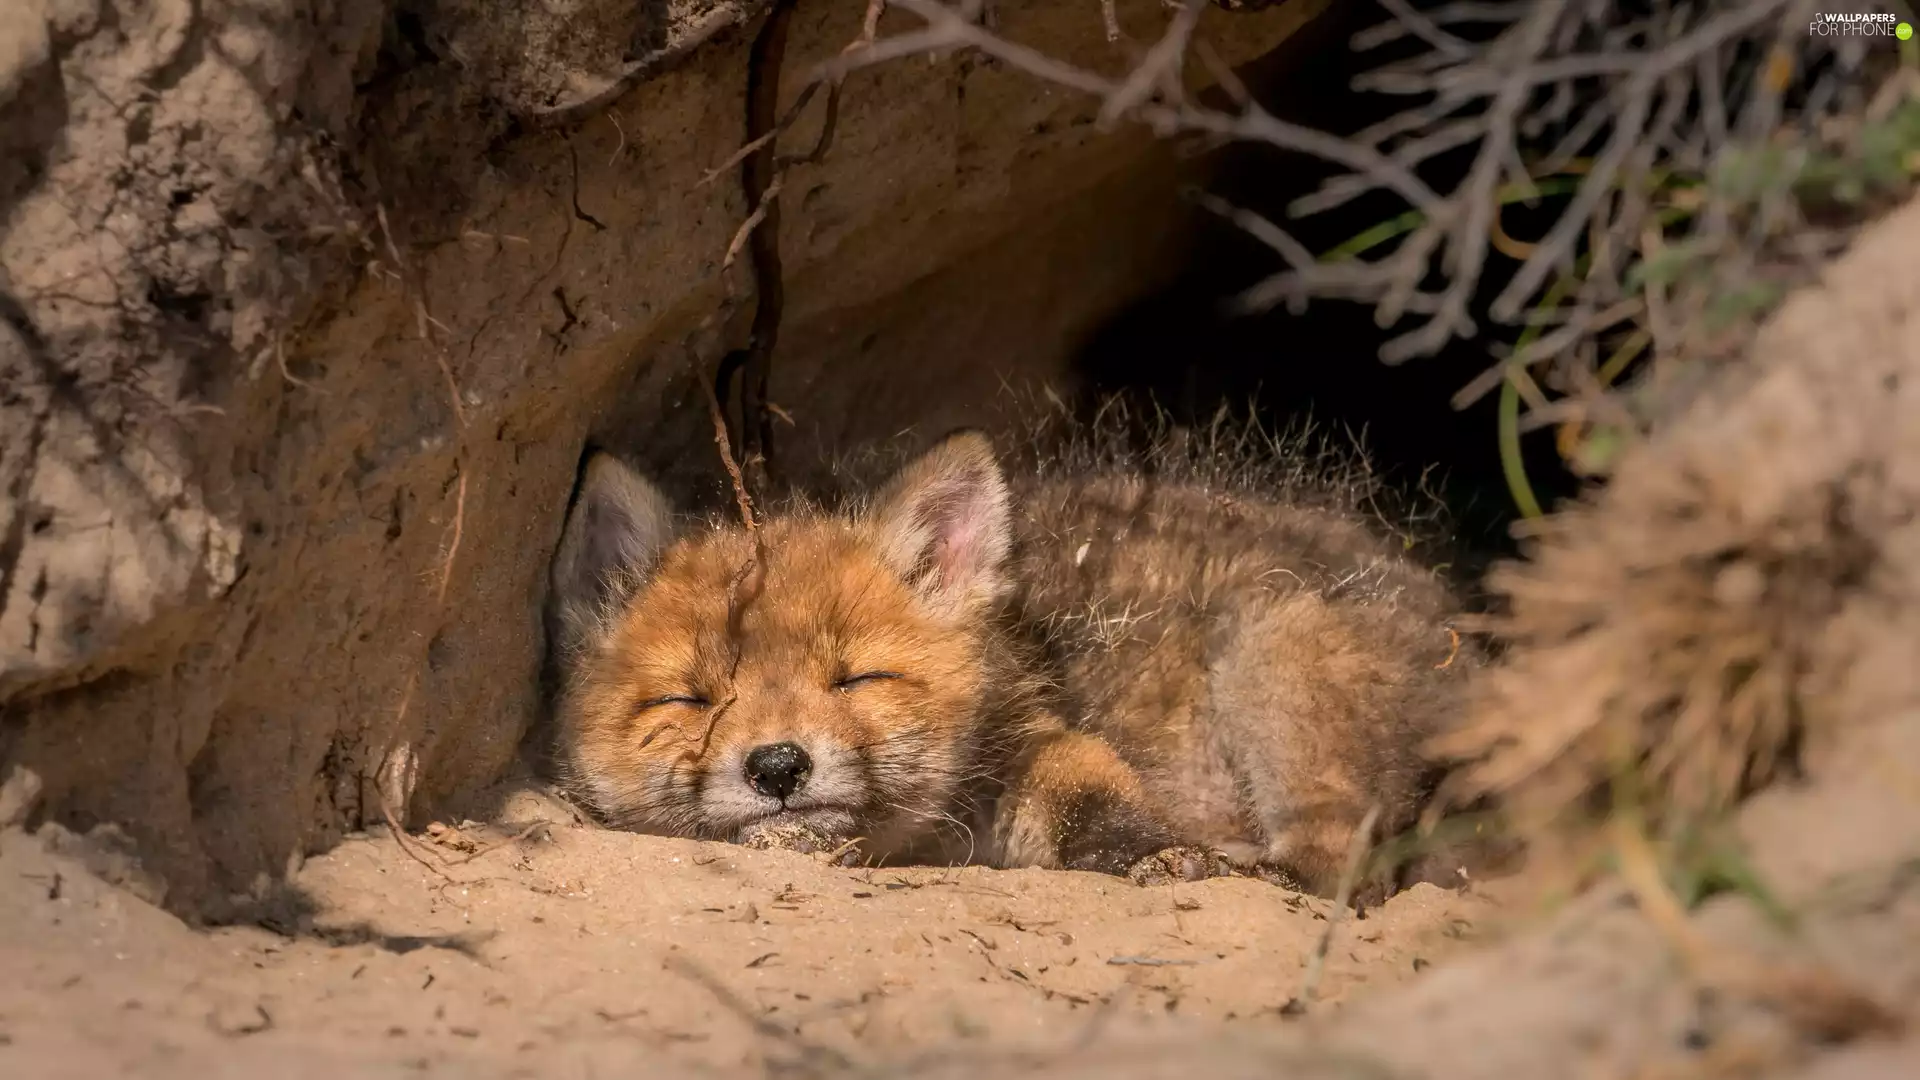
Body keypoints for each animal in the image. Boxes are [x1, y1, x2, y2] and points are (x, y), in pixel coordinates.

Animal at [546, 418, 1477, 896]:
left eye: (859, 678)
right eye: (692, 700)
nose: (778, 767)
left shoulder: (1030, 739)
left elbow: (1094, 800)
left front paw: (1156, 856)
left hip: (1273, 660)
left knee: (1339, 868)